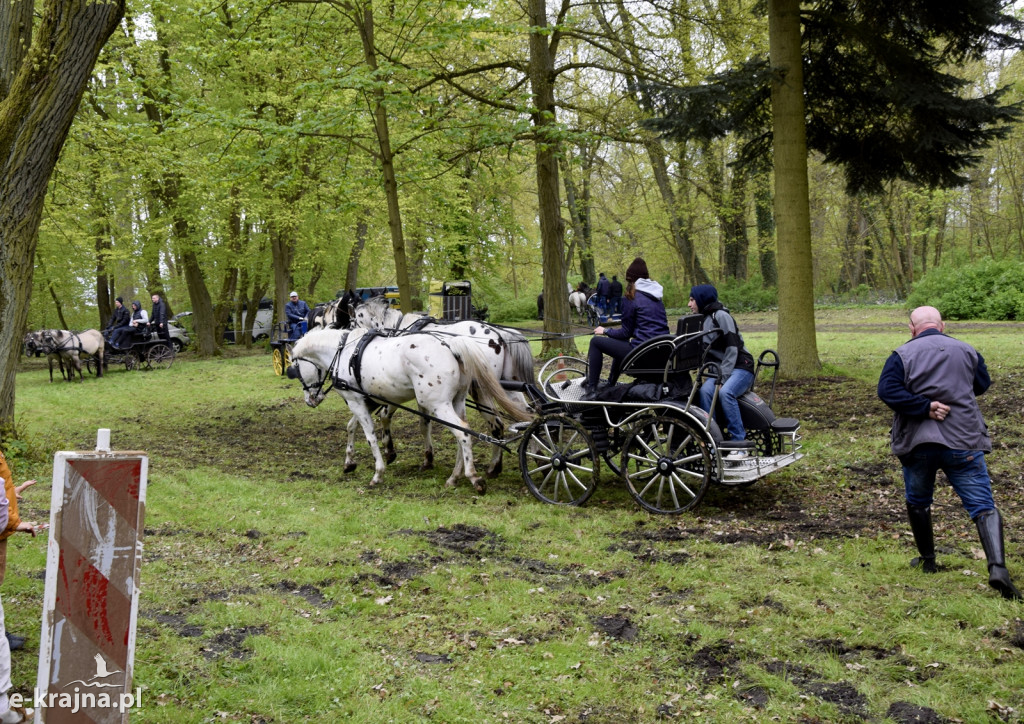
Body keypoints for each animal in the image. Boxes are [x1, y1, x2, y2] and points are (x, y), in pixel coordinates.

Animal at [350, 296, 536, 479]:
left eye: (354, 319)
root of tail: (499, 335)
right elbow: (422, 423)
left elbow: (393, 418)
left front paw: (396, 452)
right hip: (510, 389)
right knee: (528, 416)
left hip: (481, 390)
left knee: (496, 425)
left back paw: (494, 467)